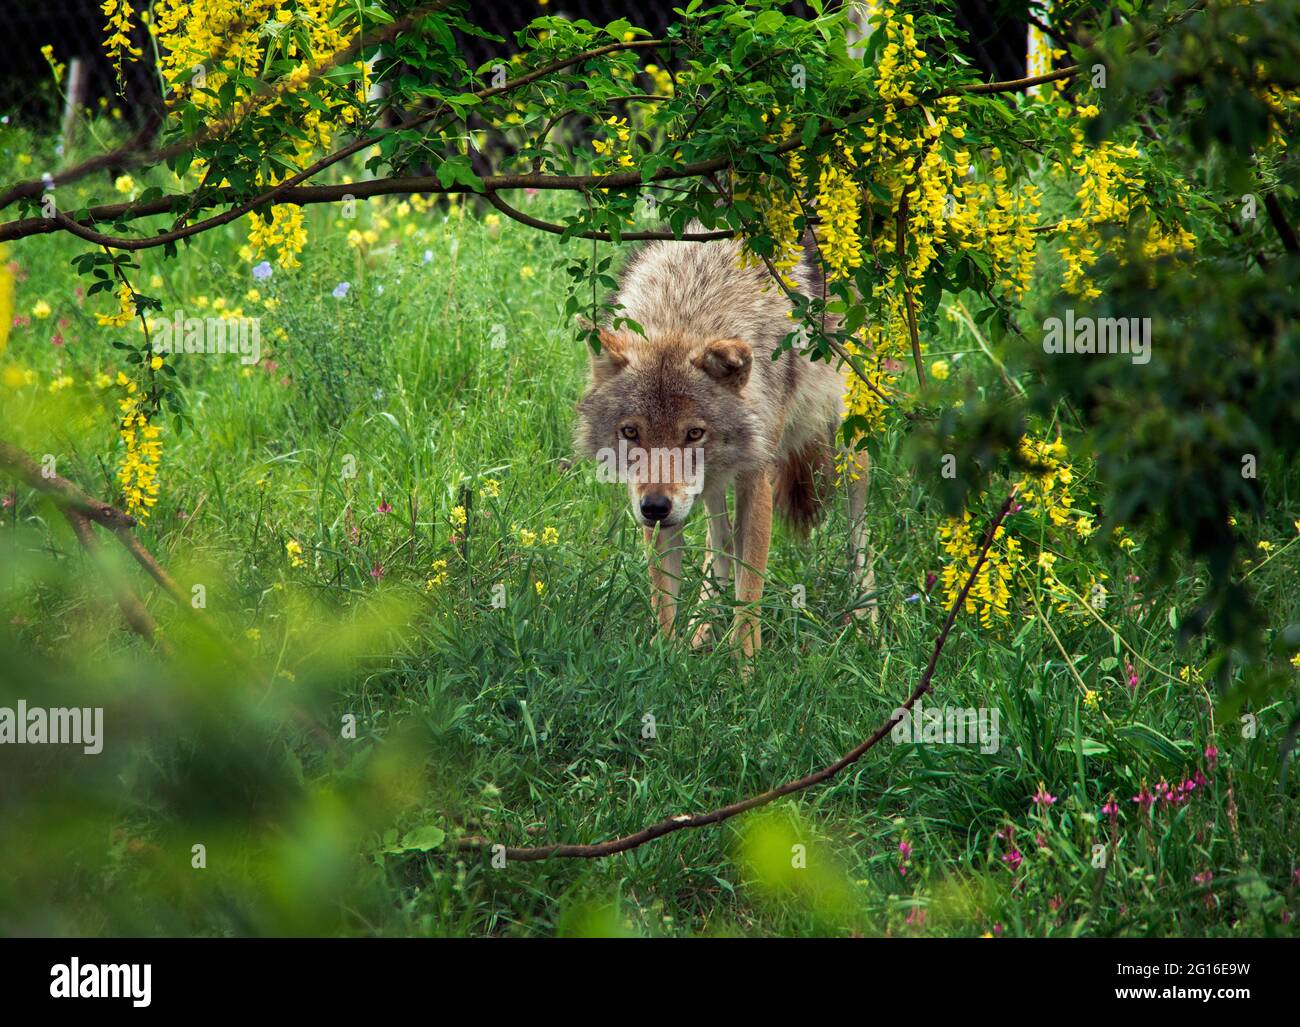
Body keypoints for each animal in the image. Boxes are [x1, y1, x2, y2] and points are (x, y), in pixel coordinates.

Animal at [577, 228, 873, 655]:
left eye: (694, 433)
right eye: (631, 432)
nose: (655, 508)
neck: (689, 306)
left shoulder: (755, 478)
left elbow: (749, 595)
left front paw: (745, 667)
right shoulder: (657, 502)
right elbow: (666, 597)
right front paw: (668, 656)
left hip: (851, 448)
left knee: (858, 533)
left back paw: (869, 626)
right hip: (711, 482)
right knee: (719, 538)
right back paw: (702, 628)